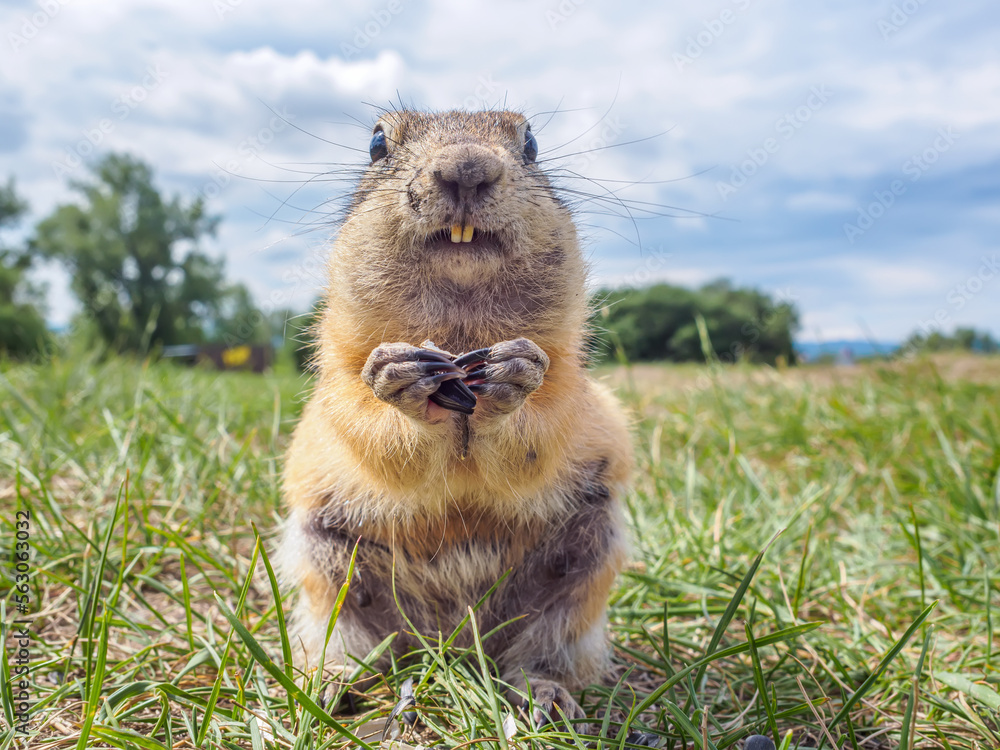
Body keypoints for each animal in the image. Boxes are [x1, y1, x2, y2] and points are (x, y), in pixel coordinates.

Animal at [278, 108, 628, 724]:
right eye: (376, 142)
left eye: (532, 143)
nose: (467, 168)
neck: (460, 328)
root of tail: (453, 647)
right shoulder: (339, 374)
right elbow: (366, 423)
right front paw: (402, 378)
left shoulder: (570, 376)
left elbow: (545, 425)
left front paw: (512, 376)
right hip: (326, 574)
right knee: (353, 642)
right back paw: (329, 683)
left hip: (585, 571)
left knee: (541, 651)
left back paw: (544, 694)